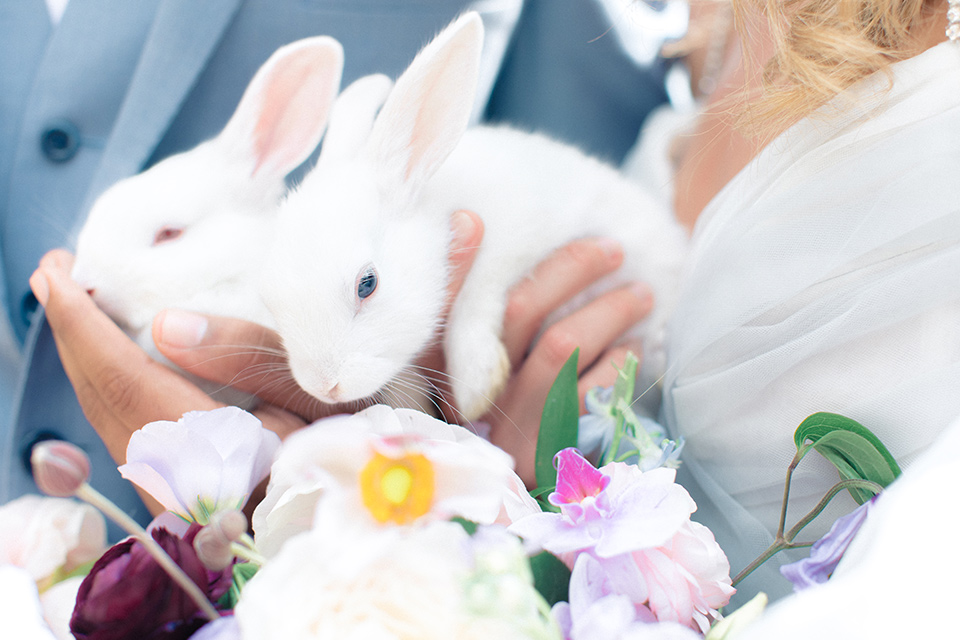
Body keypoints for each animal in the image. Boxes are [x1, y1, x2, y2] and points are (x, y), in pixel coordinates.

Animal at [258, 12, 688, 422]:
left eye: (367, 284)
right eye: (271, 301)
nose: (324, 386)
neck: (439, 201)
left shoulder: (518, 237)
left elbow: (477, 293)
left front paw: (477, 386)